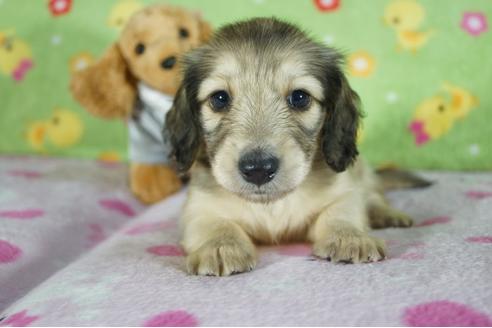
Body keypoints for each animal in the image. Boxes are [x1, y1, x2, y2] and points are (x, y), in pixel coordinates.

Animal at [166, 17, 418, 274]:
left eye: (299, 97)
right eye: (219, 99)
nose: (258, 169)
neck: (271, 205)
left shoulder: (344, 192)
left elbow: (340, 213)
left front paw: (349, 237)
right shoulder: (199, 206)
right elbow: (217, 224)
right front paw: (220, 247)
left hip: (362, 171)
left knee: (374, 195)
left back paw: (387, 214)